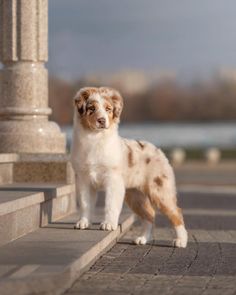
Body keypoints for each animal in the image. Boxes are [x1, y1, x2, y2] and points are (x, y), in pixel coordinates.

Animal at [70, 87, 188, 247]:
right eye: (91, 108)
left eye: (108, 109)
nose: (102, 120)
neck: (95, 138)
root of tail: (158, 150)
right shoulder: (83, 179)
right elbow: (85, 203)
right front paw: (83, 222)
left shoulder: (113, 180)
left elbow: (110, 204)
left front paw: (108, 224)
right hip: (135, 195)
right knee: (149, 214)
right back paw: (142, 239)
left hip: (159, 190)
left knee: (176, 212)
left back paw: (181, 241)